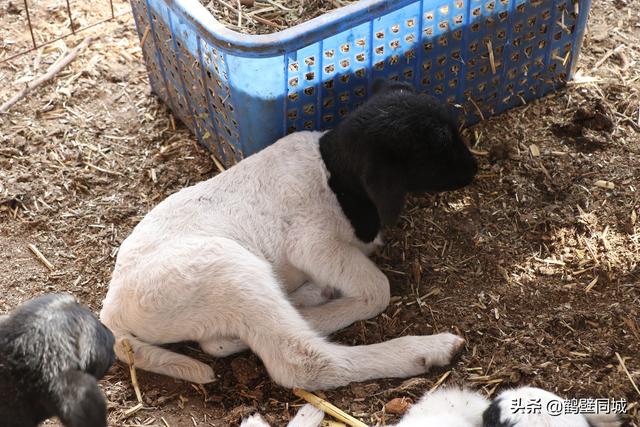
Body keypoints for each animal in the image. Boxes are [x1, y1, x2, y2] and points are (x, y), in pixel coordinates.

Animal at [99, 80, 480, 392]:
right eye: (437, 150)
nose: (474, 168)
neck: (335, 173)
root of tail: (112, 308)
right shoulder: (312, 244)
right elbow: (377, 290)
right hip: (227, 270)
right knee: (299, 361)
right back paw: (425, 349)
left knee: (218, 343)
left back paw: (310, 296)